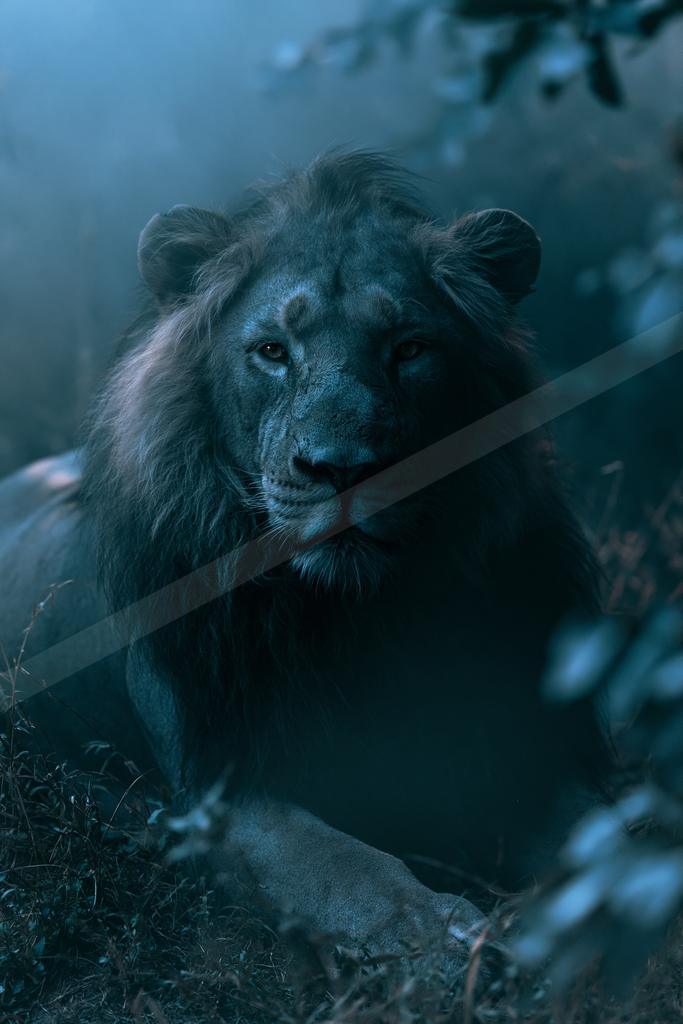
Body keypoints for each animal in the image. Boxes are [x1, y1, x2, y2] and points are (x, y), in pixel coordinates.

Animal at [0, 151, 608, 963]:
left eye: (409, 348)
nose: (339, 468)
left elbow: (609, 835)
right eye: (272, 352)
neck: (358, 613)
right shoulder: (218, 794)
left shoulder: (530, 745)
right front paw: (457, 943)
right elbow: (356, 873)